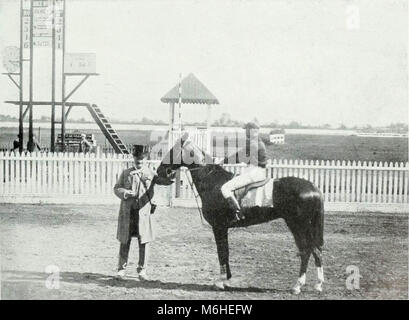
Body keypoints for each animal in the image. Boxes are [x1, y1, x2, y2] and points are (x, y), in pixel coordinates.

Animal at [155, 134, 324, 294]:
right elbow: (226, 252)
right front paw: (227, 280)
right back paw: (318, 284)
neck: (212, 181)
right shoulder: (222, 228)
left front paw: (221, 281)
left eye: (173, 150)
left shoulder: (219, 227)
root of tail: (314, 188)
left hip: (297, 225)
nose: (160, 171)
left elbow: (222, 252)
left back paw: (297, 285)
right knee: (316, 249)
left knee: (306, 250)